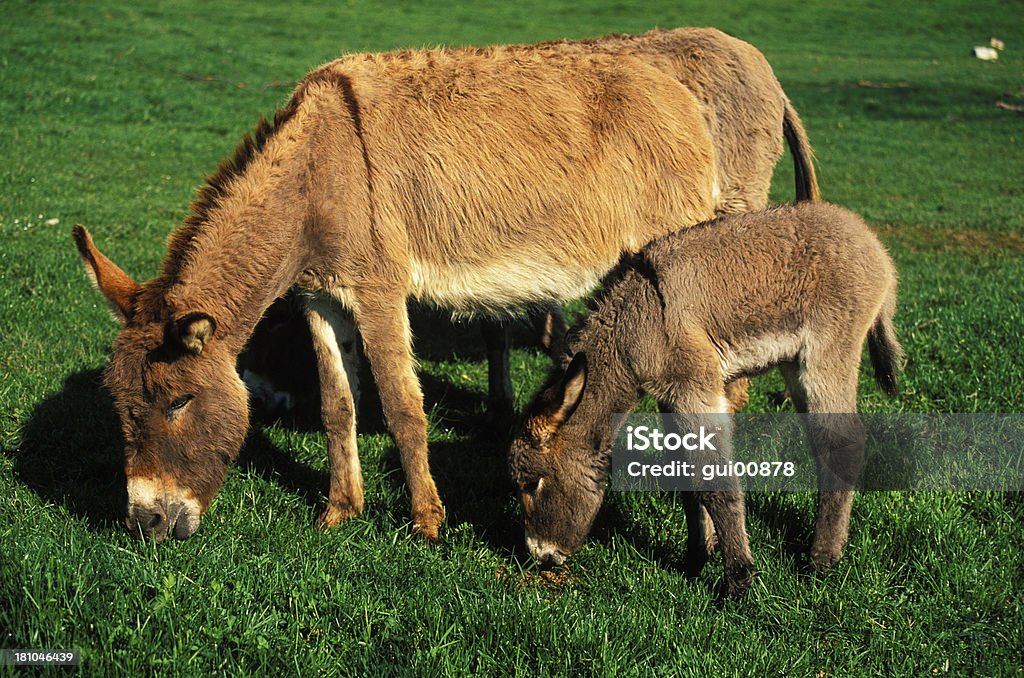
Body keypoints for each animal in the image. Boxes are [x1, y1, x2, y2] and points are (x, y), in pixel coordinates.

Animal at [507, 201, 901, 594]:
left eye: (531, 483)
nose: (541, 558)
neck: (634, 326)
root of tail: (871, 242)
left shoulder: (693, 387)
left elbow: (713, 480)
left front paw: (739, 579)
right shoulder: (671, 396)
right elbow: (686, 473)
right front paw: (697, 557)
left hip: (826, 353)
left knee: (843, 444)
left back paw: (822, 560)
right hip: (795, 363)